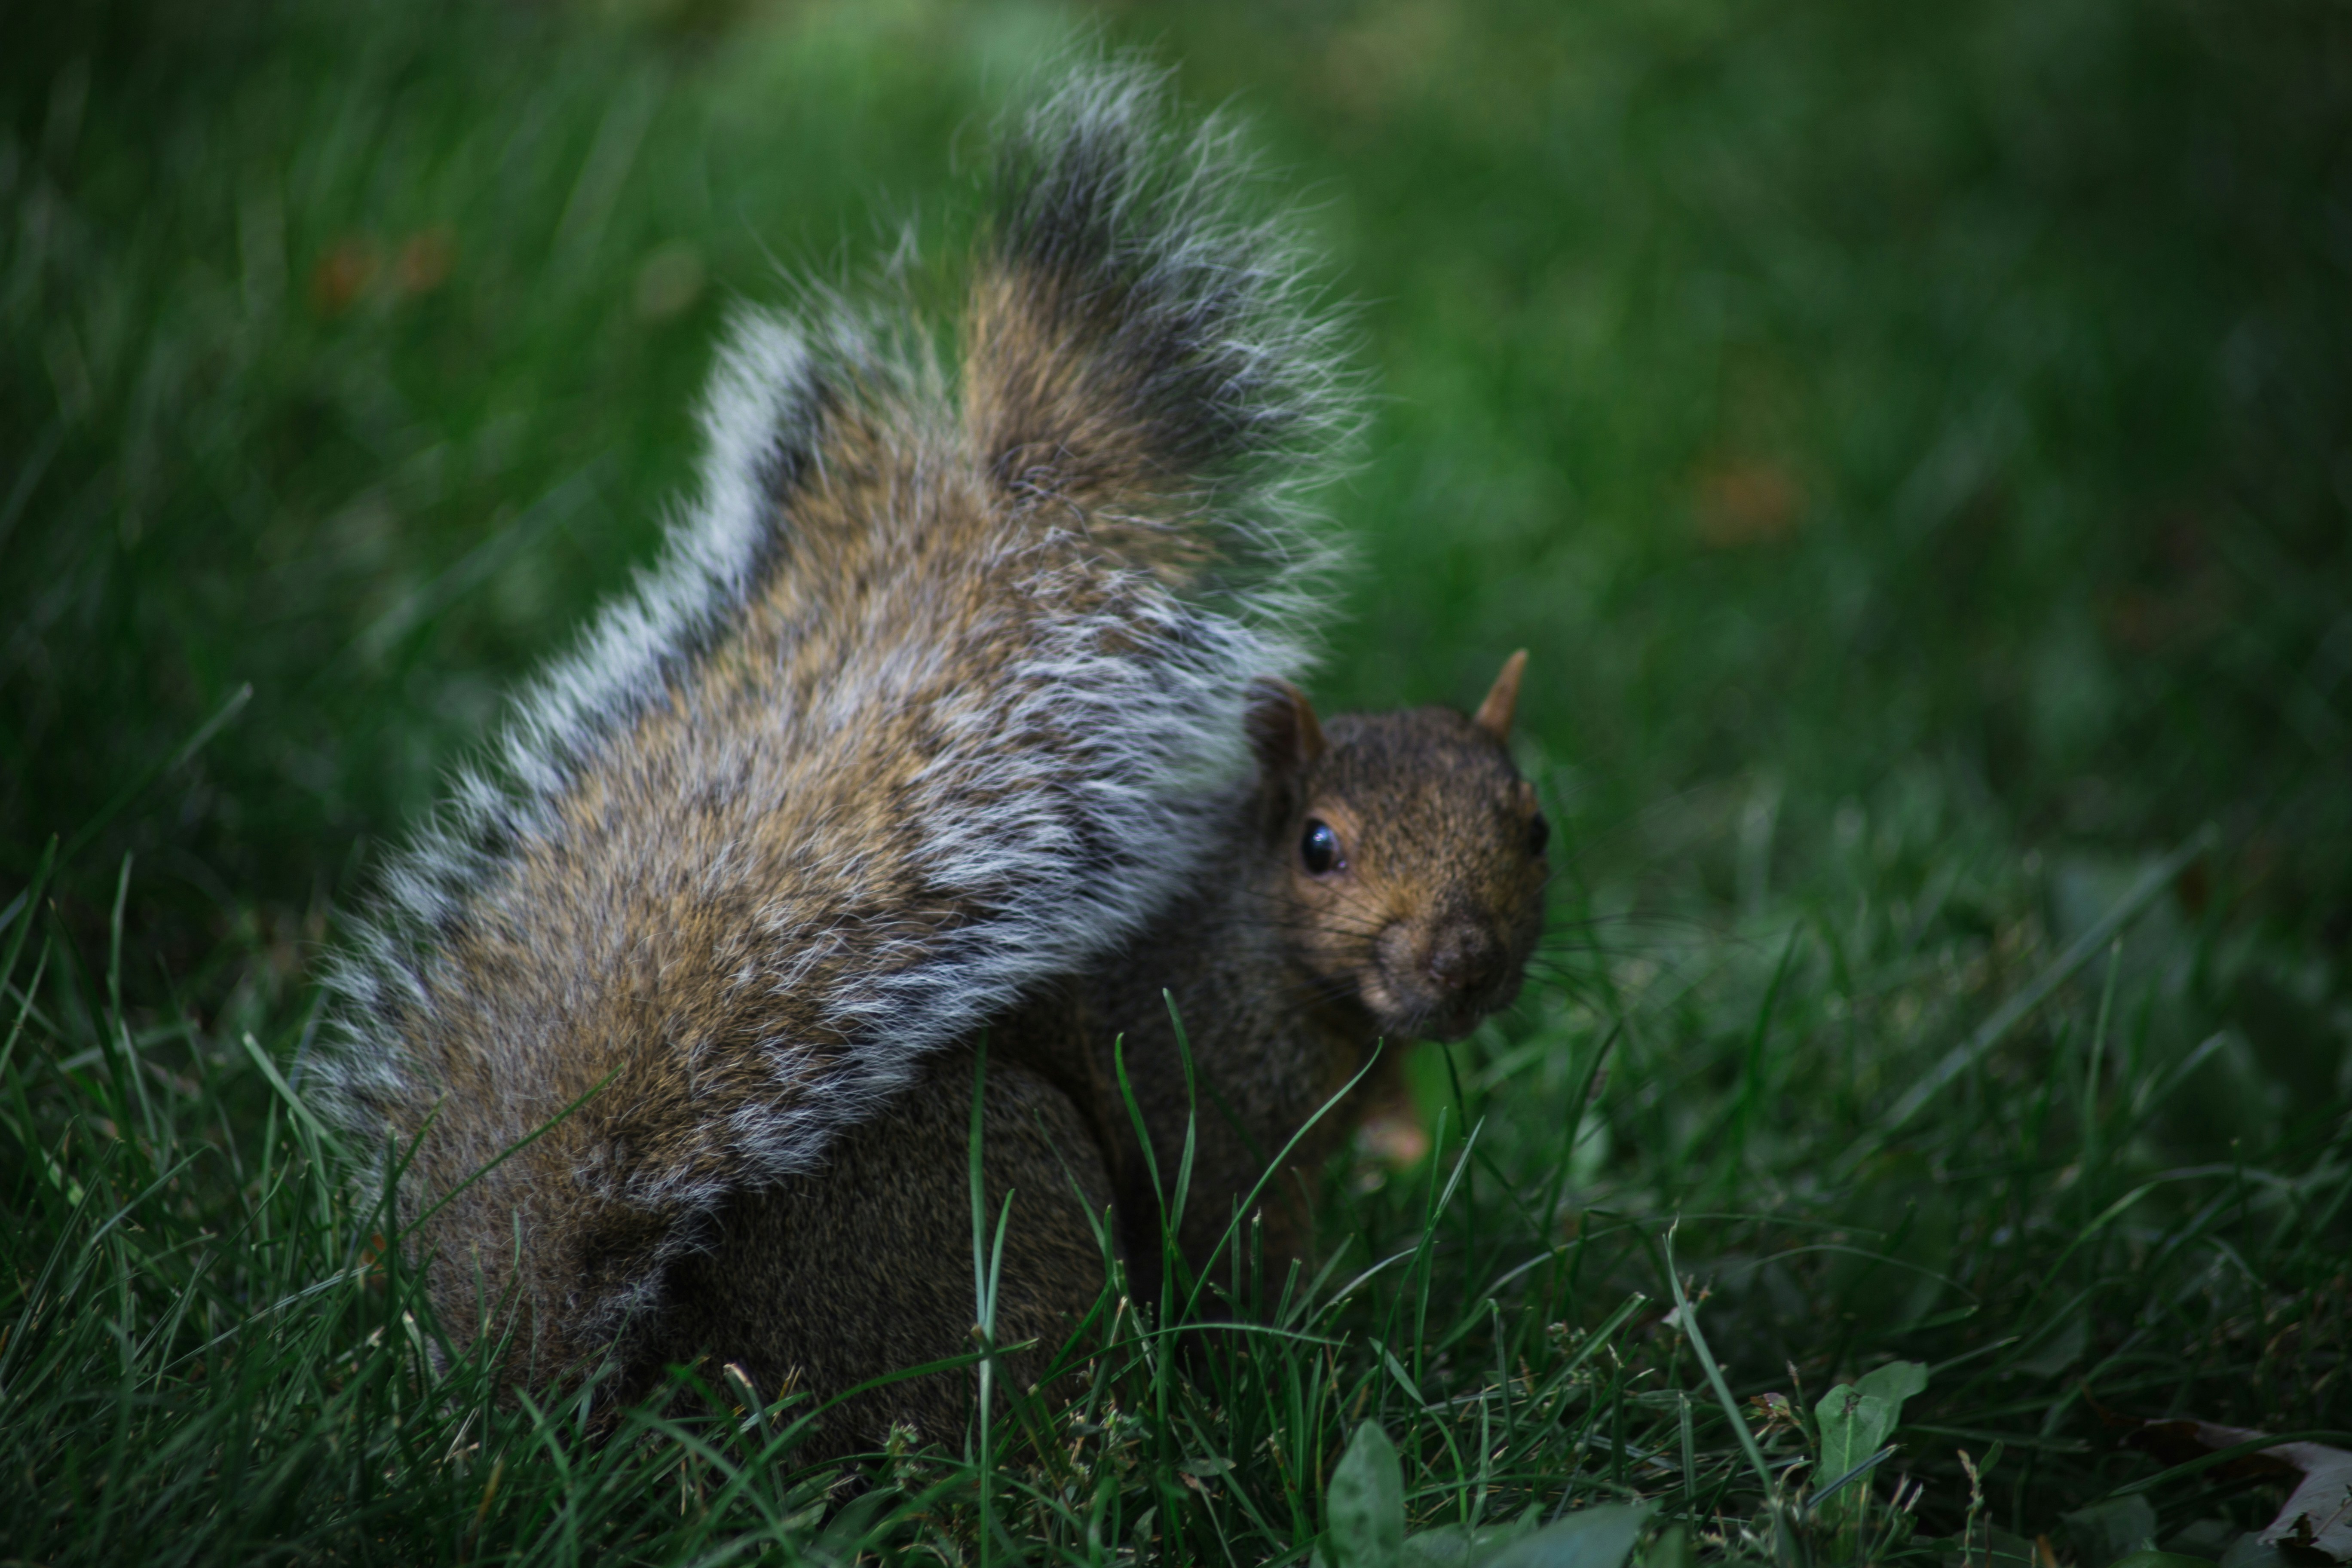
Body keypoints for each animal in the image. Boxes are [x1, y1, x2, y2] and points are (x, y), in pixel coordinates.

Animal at [313, 63, 1548, 1454]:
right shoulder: (1200, 1102)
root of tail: (673, 1396)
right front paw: (1310, 1363)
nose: (1464, 961)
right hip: (1012, 1190)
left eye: (1534, 825)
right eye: (1319, 846)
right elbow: (1233, 1254)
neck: (1275, 969)